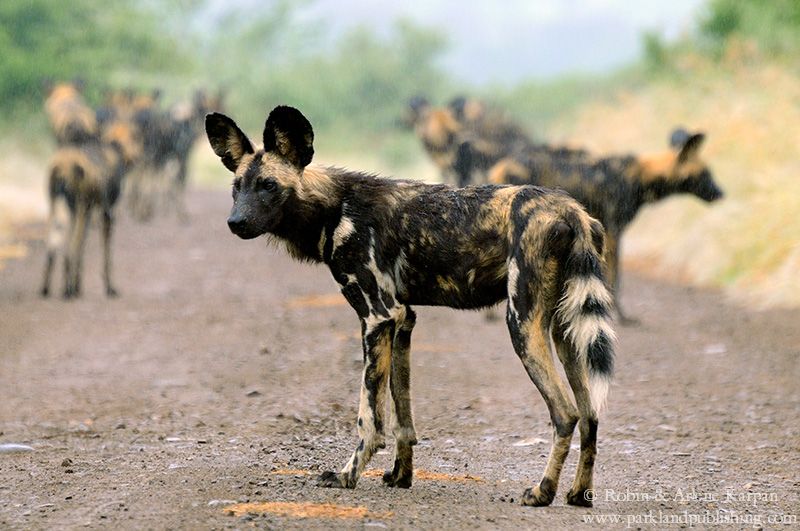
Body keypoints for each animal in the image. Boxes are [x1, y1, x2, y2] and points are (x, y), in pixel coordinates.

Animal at [40, 116, 142, 300]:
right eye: (136, 138)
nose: (139, 157)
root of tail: (63, 165)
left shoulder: (88, 213)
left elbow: (82, 251)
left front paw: (78, 286)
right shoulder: (107, 214)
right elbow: (107, 257)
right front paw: (110, 288)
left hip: (58, 209)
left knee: (51, 250)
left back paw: (46, 289)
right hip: (77, 211)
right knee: (69, 251)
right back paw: (67, 291)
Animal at [208, 106, 620, 510]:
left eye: (268, 186)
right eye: (237, 187)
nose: (235, 222)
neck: (334, 209)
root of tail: (571, 210)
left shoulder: (375, 317)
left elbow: (369, 417)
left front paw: (347, 476)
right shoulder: (402, 319)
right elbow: (402, 412)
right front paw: (400, 476)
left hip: (521, 323)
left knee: (565, 413)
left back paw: (542, 492)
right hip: (564, 331)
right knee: (589, 415)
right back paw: (579, 495)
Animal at [488, 131, 724, 326]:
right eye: (706, 173)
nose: (721, 193)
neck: (639, 177)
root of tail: (500, 167)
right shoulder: (613, 232)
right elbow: (614, 279)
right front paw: (621, 317)